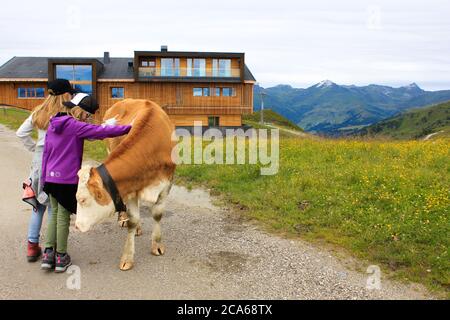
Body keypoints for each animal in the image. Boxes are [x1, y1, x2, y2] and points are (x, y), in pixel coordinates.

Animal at [74, 98, 176, 270]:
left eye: (82, 200)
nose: (76, 226)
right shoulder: (131, 187)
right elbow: (132, 220)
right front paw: (128, 257)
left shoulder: (166, 185)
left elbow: (157, 214)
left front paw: (157, 245)